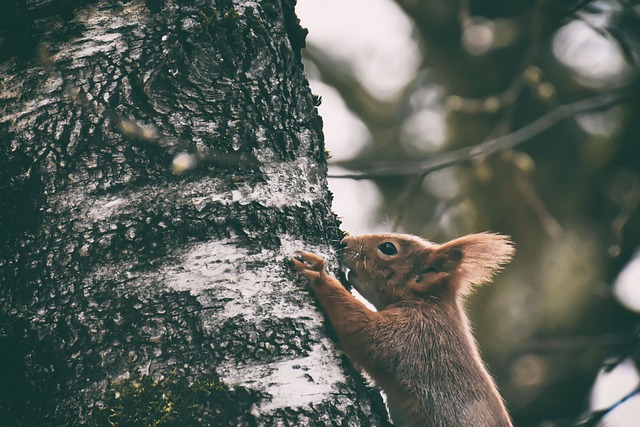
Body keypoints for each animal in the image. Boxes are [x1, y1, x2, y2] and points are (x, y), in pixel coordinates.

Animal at [290, 234, 516, 427]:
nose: (344, 242)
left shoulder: (417, 334)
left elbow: (363, 332)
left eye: (388, 248)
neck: (427, 301)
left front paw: (319, 274)